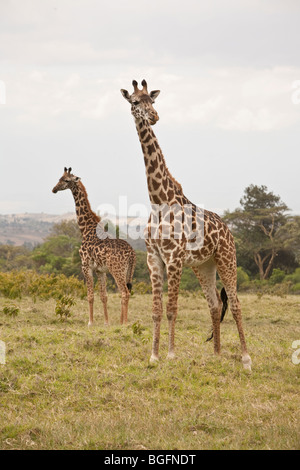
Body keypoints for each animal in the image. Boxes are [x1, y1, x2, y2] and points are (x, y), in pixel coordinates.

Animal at [52, 168, 135, 326]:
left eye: (66, 180)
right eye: (59, 178)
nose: (54, 189)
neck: (85, 229)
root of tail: (132, 254)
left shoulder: (85, 266)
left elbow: (90, 295)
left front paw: (90, 322)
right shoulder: (100, 270)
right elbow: (103, 296)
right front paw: (106, 322)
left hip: (117, 270)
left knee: (125, 293)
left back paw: (124, 323)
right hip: (128, 271)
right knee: (126, 292)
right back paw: (122, 321)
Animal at [120, 79, 252, 370]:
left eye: (153, 101)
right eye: (135, 102)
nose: (154, 117)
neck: (159, 201)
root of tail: (228, 230)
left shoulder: (174, 259)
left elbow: (172, 310)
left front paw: (170, 354)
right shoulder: (154, 259)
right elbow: (156, 311)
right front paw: (154, 356)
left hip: (227, 258)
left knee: (236, 304)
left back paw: (247, 359)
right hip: (204, 266)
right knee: (215, 304)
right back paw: (216, 354)